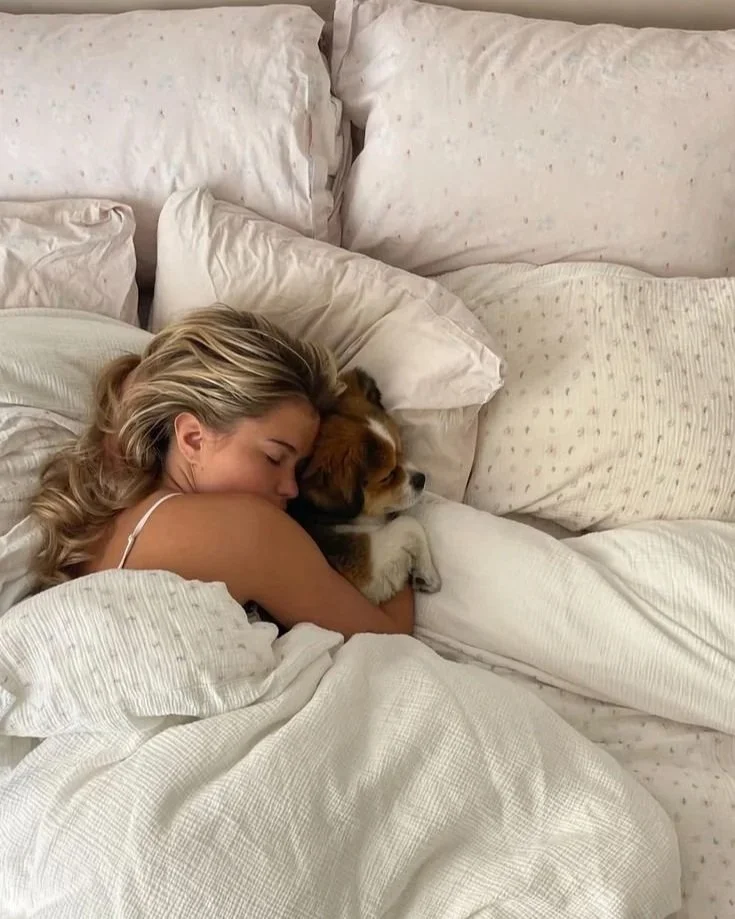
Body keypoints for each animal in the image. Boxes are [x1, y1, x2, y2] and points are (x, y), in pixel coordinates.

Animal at [288, 368, 441, 605]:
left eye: (400, 450)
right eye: (387, 476)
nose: (421, 479)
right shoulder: (367, 573)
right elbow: (409, 524)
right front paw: (428, 573)